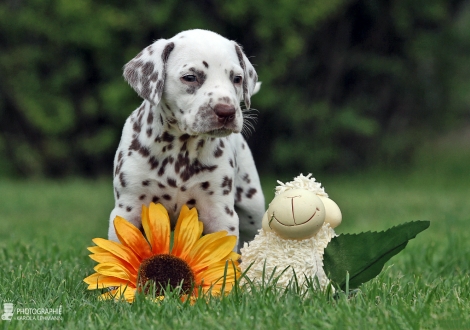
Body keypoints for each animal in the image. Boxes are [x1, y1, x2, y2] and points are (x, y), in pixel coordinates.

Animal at [109, 29, 264, 249]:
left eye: (237, 78)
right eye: (190, 77)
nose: (227, 111)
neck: (180, 150)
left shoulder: (220, 213)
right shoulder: (128, 209)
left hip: (253, 208)